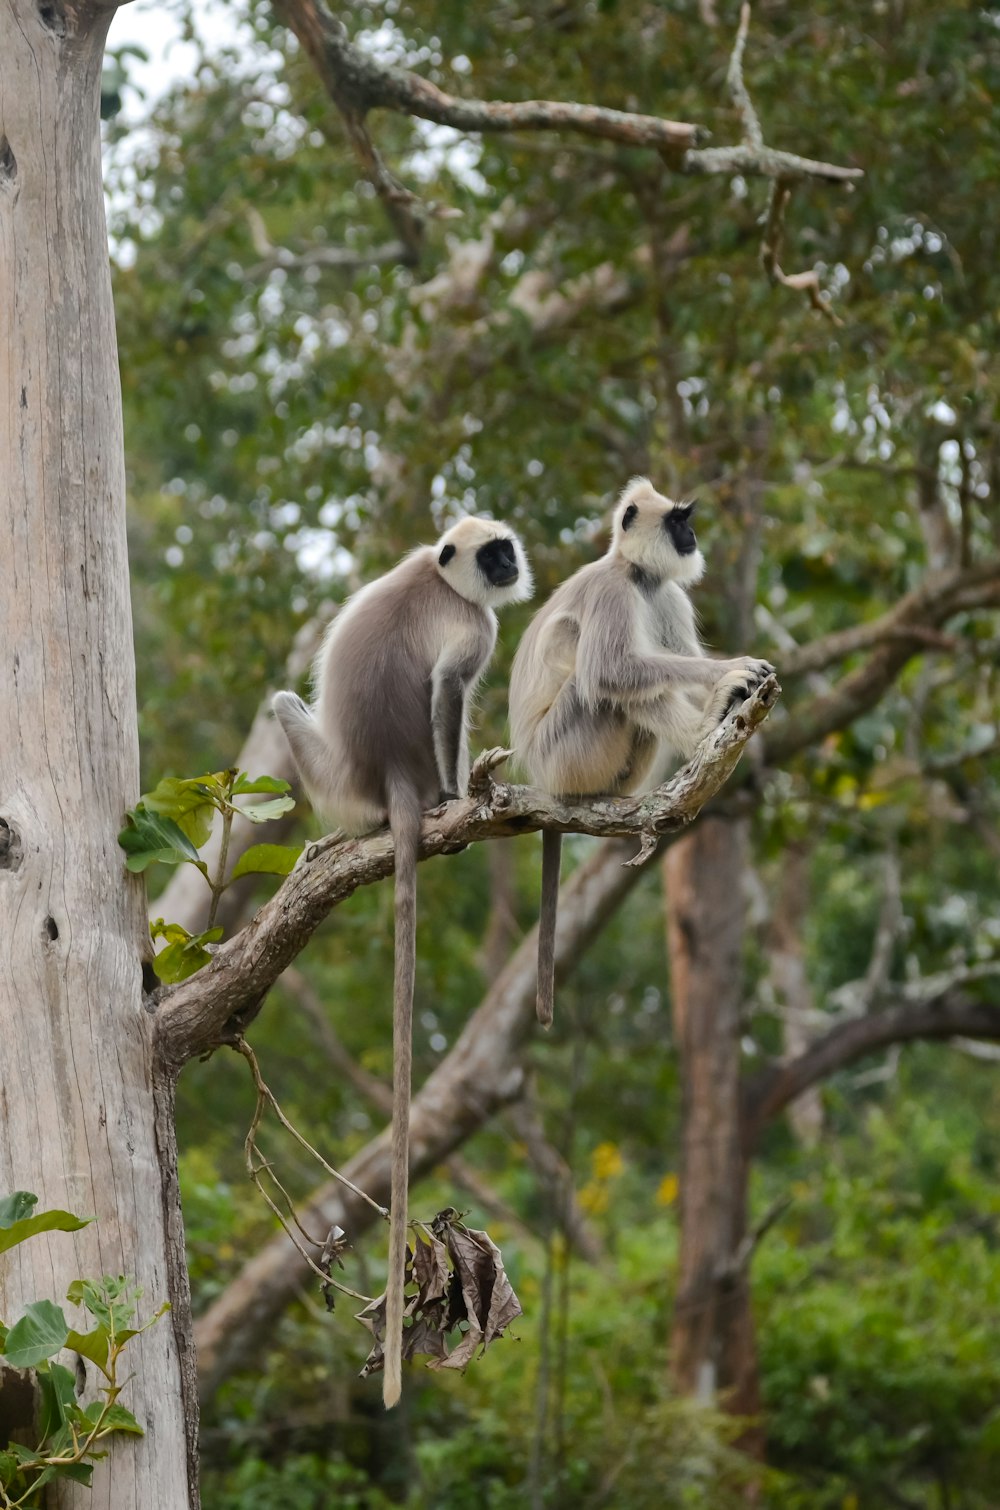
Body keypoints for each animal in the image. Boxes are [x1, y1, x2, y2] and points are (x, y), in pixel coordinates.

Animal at [265, 516, 531, 1401]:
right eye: (494, 556)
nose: (511, 566)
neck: (437, 575)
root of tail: (389, 781)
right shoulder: (474, 630)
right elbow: (450, 689)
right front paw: (462, 794)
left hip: (335, 786)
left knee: (281, 703)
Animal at [510, 477, 773, 1032]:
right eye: (677, 521)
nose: (692, 536)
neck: (638, 576)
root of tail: (542, 781)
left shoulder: (667, 594)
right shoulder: (612, 592)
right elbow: (612, 671)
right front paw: (730, 671)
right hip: (564, 753)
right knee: (599, 681)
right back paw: (703, 729)